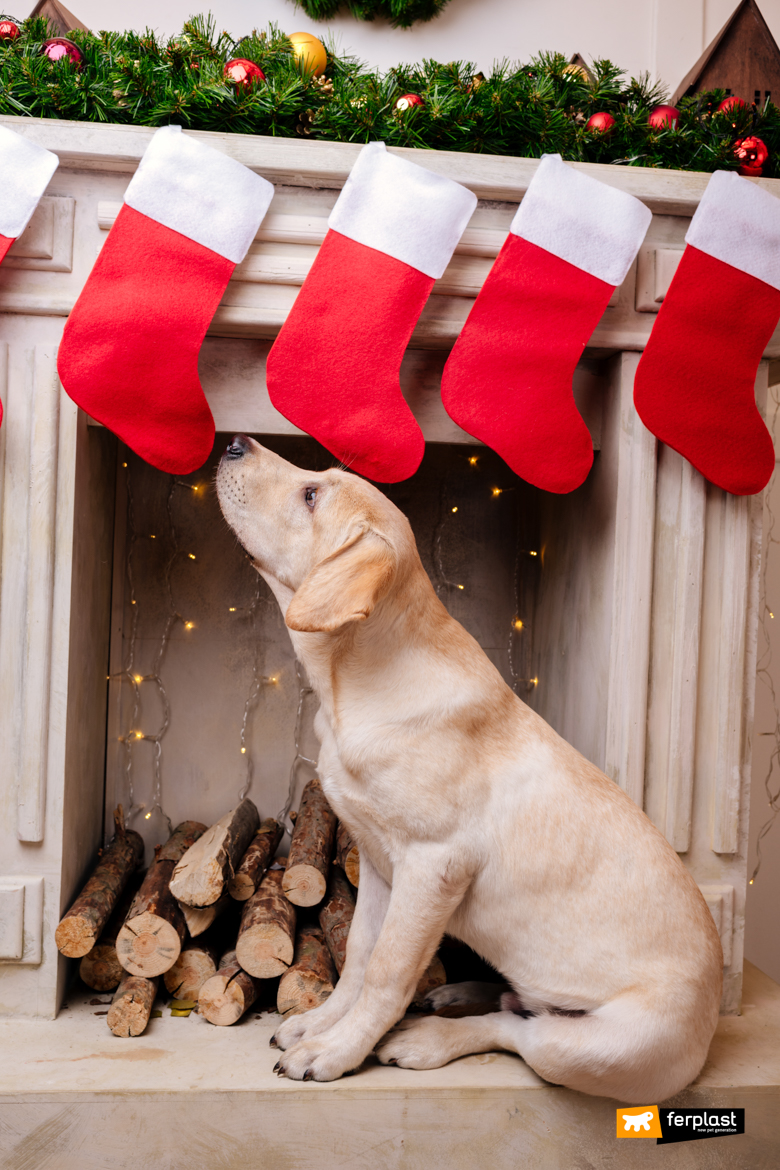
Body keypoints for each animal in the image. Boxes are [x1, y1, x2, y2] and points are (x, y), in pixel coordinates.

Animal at [216, 432, 725, 1095]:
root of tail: (714, 1022)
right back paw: (458, 994)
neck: (351, 686)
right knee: (514, 1008)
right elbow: (358, 956)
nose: (232, 442)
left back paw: (427, 1037)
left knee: (518, 1033)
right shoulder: (378, 863)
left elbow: (386, 971)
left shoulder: (434, 866)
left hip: (605, 1048)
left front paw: (336, 1049)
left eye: (310, 495)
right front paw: (320, 1023)